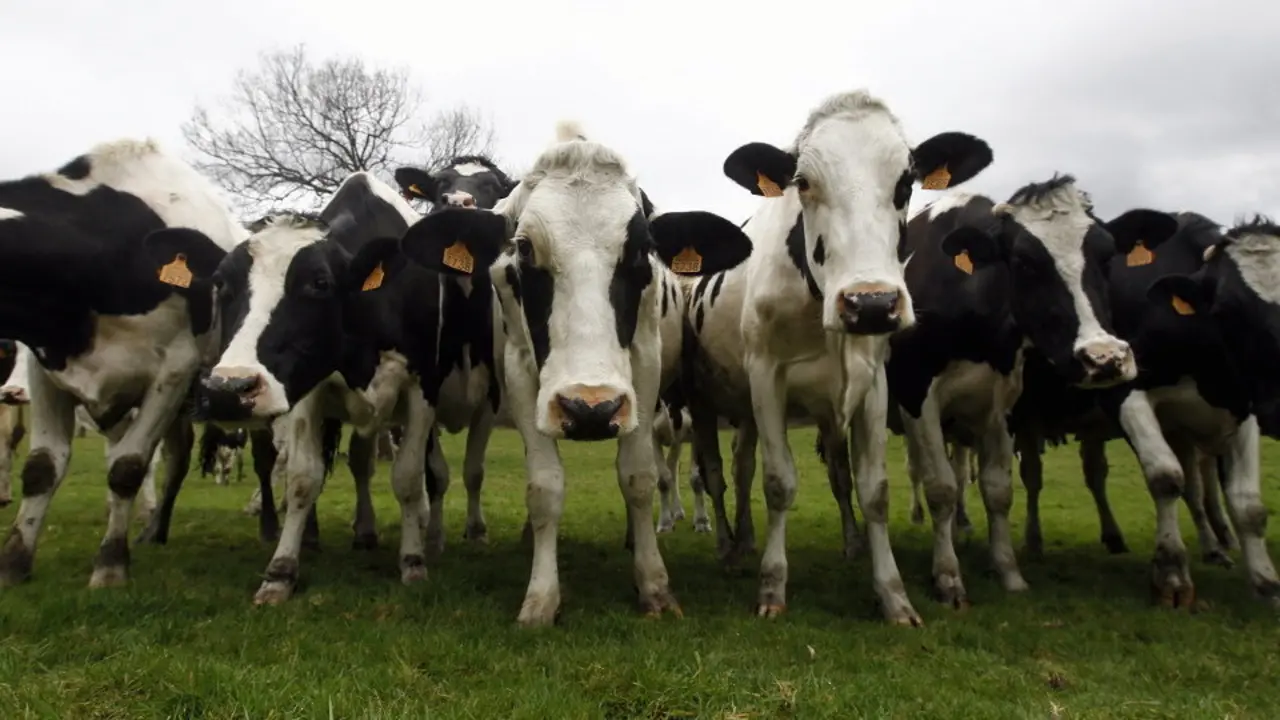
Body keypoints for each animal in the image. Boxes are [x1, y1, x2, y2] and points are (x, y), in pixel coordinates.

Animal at [0, 138, 248, 588]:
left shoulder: (174, 370)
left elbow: (127, 467)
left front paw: (111, 565)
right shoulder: (48, 369)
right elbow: (42, 467)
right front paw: (14, 562)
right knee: (177, 457)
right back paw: (154, 529)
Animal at [398, 121, 755, 626]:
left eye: (642, 249)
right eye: (524, 248)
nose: (591, 409)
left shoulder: (643, 369)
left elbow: (639, 477)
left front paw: (653, 583)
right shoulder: (521, 375)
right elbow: (544, 485)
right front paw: (541, 596)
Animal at [680, 89, 994, 624]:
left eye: (905, 182)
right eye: (803, 183)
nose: (871, 303)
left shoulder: (873, 384)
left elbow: (872, 489)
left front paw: (893, 594)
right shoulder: (766, 376)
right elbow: (779, 483)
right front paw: (772, 585)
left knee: (745, 470)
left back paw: (751, 541)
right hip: (705, 402)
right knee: (717, 474)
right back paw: (727, 548)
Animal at [886, 176, 1179, 607]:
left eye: (1106, 256)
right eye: (1024, 261)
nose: (1104, 358)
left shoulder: (1002, 408)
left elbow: (998, 490)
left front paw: (1008, 572)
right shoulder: (916, 396)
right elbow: (940, 487)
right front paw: (948, 577)